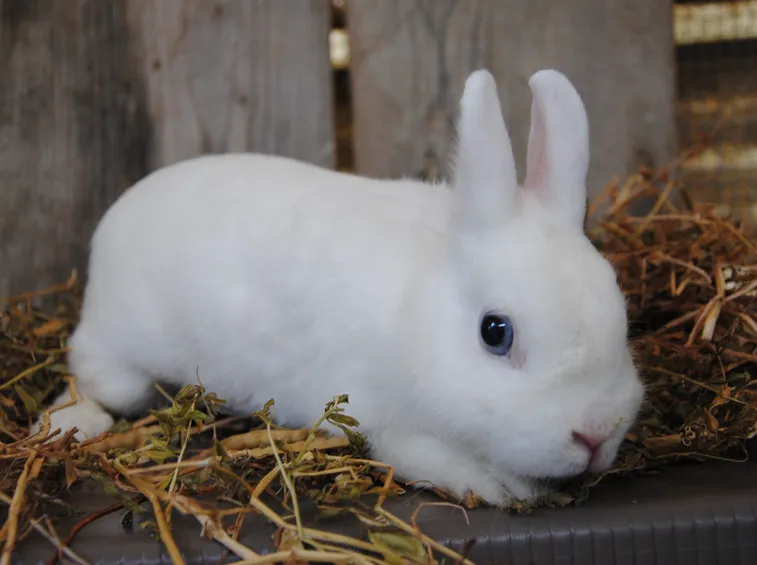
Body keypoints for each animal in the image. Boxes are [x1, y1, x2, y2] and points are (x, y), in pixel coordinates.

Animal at [36, 68, 645, 507]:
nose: (595, 434)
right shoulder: (382, 419)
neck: (415, 311)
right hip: (121, 356)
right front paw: (499, 485)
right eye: (495, 332)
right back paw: (72, 421)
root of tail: (114, 218)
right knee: (89, 375)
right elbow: (422, 455)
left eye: (620, 312)